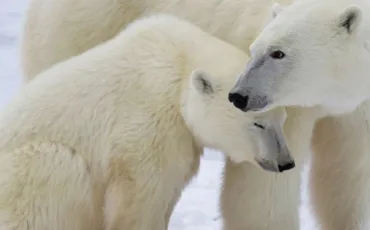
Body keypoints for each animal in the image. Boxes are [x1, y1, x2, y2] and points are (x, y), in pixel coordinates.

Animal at [230, 0, 370, 229]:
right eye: (253, 50)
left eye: (278, 53)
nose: (238, 96)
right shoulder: (290, 110)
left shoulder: (359, 109)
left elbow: (347, 173)